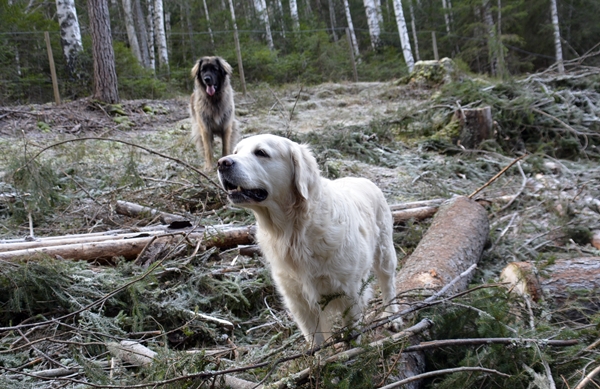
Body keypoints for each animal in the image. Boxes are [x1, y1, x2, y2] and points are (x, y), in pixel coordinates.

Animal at [218, 135, 400, 344]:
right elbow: (315, 340)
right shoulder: (298, 300)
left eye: (261, 152)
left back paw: (393, 316)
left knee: (388, 284)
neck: (293, 231)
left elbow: (353, 332)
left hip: (385, 253)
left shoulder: (350, 291)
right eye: (236, 151)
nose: (222, 163)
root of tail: (362, 179)